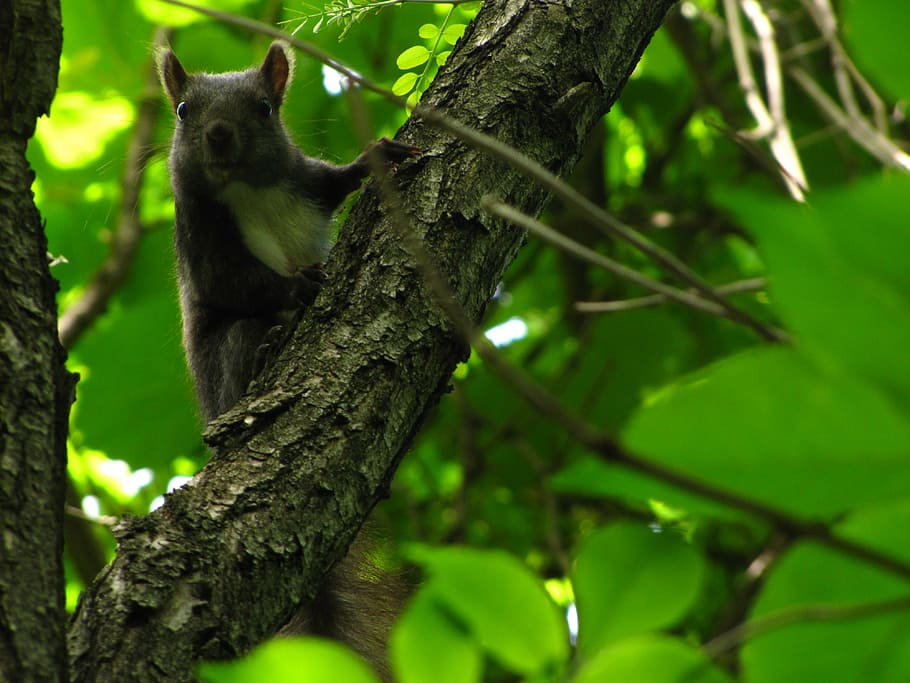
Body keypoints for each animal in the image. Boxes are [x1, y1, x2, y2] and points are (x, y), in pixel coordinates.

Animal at [157, 41, 415, 678]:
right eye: (182, 110)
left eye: (265, 108)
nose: (219, 135)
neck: (248, 190)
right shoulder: (203, 237)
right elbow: (236, 285)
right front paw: (299, 285)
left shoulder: (305, 182)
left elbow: (334, 181)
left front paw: (375, 158)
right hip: (229, 360)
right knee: (246, 338)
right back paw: (271, 344)